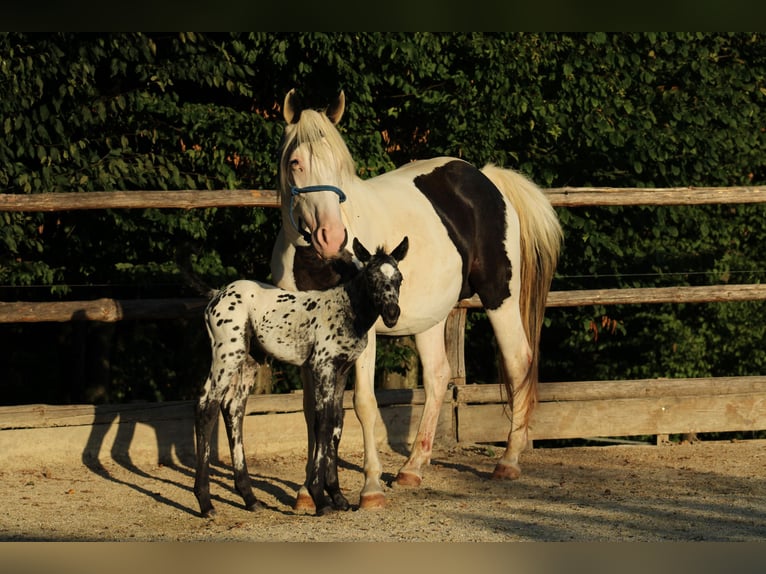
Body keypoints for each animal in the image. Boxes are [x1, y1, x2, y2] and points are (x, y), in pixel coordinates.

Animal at [194, 235, 409, 517]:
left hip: (249, 360)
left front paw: (337, 496)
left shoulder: (341, 371)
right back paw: (205, 503)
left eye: (399, 278)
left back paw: (250, 499)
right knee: (206, 406)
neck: (346, 310)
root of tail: (216, 295)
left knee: (233, 409)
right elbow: (323, 422)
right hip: (227, 355)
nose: (392, 313)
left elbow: (336, 423)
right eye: (372, 277)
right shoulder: (322, 366)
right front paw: (320, 498)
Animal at [270, 89, 562, 510]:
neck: (316, 264)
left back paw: (508, 460)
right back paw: (413, 466)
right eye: (296, 163)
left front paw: (370, 488)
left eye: (340, 166)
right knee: (439, 375)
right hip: (431, 316)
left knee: (518, 360)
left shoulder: (365, 339)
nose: (333, 237)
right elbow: (313, 411)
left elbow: (363, 404)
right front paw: (306, 493)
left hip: (501, 299)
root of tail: (487, 180)